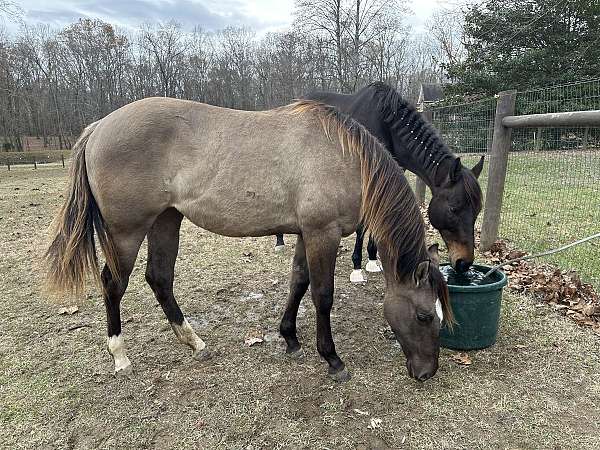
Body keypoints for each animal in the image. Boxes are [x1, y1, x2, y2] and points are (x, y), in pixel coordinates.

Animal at [45, 98, 450, 384]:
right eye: (424, 315)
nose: (427, 372)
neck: (342, 155)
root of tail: (99, 127)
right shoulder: (323, 233)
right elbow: (322, 295)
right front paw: (333, 360)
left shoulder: (305, 233)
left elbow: (298, 282)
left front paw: (290, 338)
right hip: (126, 232)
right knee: (113, 284)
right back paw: (120, 357)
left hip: (165, 221)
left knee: (159, 278)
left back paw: (195, 343)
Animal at [276, 84, 482, 280]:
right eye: (453, 208)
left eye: (477, 211)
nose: (464, 263)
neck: (386, 125)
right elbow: (362, 226)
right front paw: (357, 267)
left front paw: (373, 260)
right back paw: (280, 241)